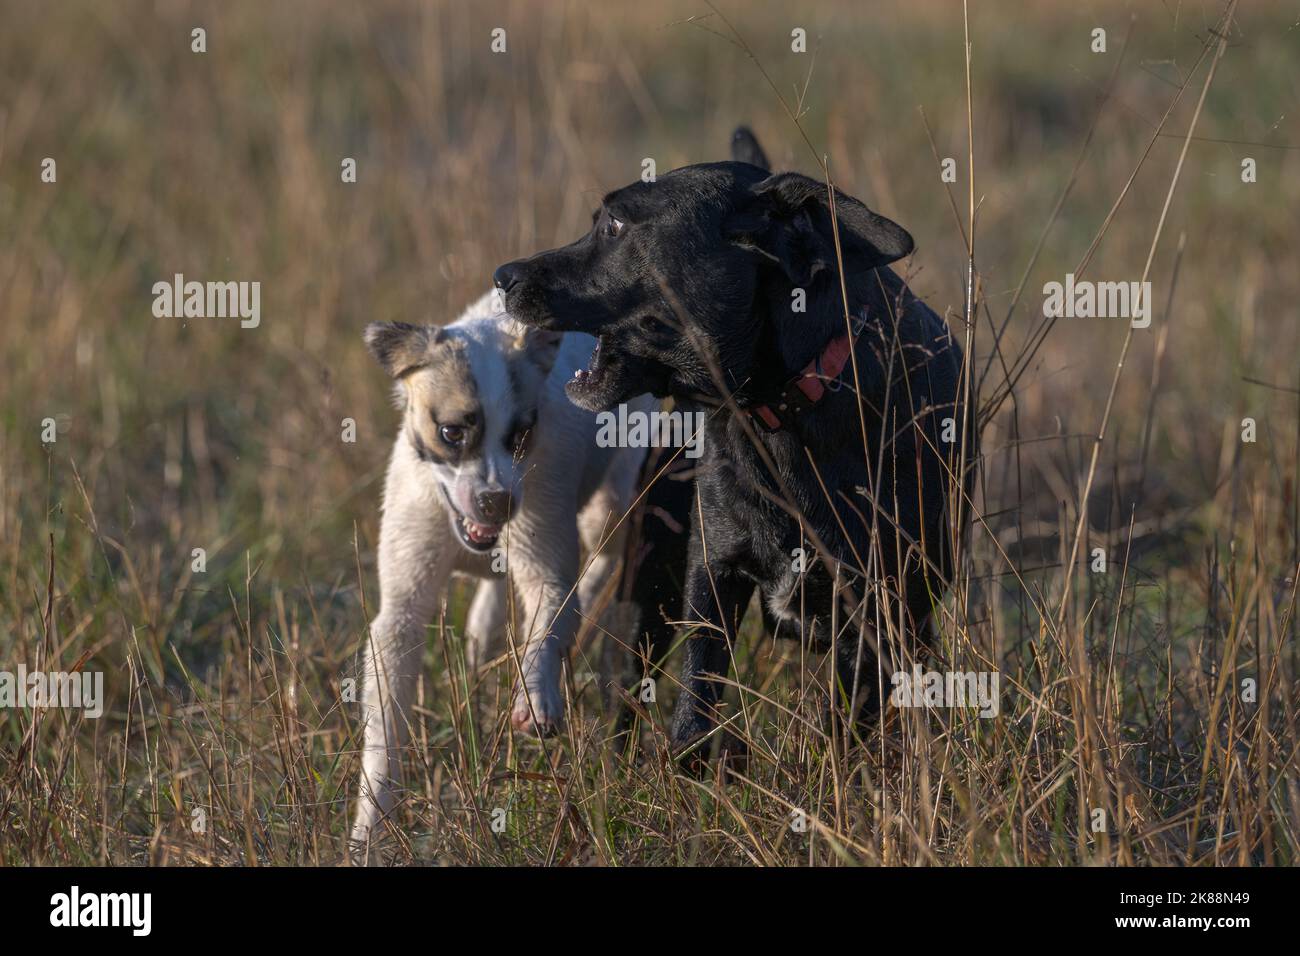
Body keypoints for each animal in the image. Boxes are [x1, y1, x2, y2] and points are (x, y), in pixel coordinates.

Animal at [351, 291, 650, 842]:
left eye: (522, 434)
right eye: (451, 432)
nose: (497, 503)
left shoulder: (547, 563)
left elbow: (548, 626)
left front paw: (535, 696)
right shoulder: (400, 612)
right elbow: (384, 732)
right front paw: (369, 828)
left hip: (612, 503)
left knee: (598, 562)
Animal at [496, 128, 977, 754]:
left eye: (616, 225)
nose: (502, 276)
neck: (781, 413)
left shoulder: (875, 613)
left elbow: (848, 731)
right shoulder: (712, 578)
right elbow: (693, 717)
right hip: (650, 587)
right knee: (626, 685)